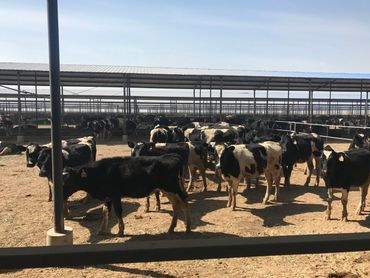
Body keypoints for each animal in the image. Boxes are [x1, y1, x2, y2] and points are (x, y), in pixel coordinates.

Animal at [62, 155, 191, 236]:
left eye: (68, 180)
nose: (61, 195)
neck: (101, 172)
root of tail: (173, 157)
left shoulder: (115, 196)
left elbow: (118, 212)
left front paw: (120, 231)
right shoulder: (107, 197)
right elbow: (105, 212)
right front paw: (101, 231)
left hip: (173, 187)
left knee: (184, 203)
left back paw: (188, 228)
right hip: (167, 190)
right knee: (176, 205)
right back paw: (171, 228)